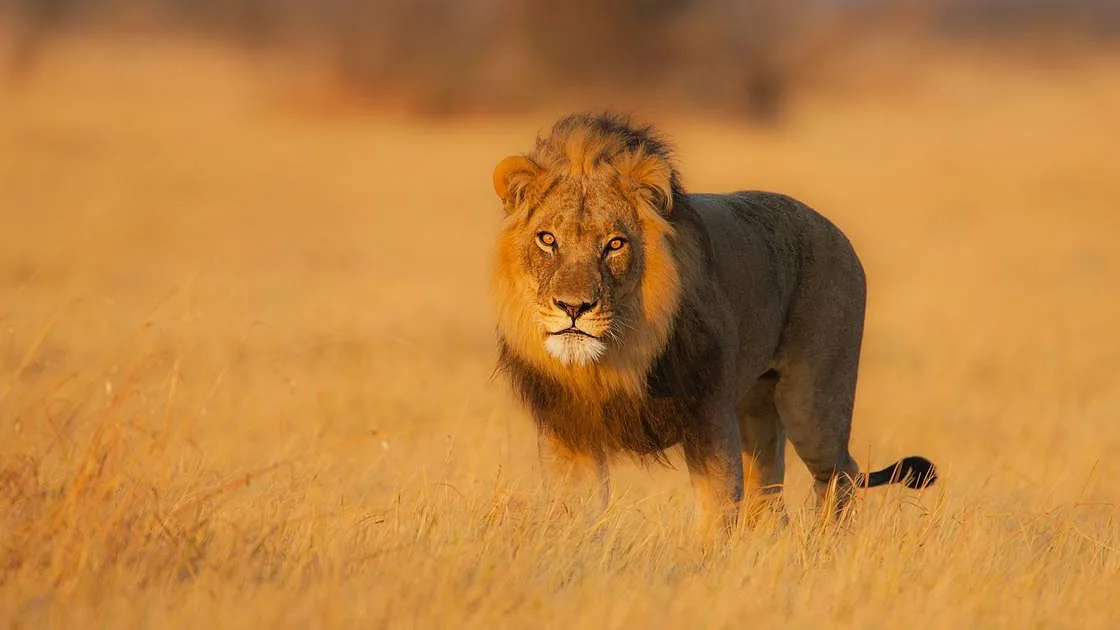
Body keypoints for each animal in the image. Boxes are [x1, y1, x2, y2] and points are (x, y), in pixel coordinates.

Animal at [491, 113, 936, 535]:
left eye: (615, 244)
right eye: (547, 240)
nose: (574, 307)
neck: (614, 360)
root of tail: (832, 228)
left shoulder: (709, 418)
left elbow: (715, 517)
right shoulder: (568, 434)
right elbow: (577, 514)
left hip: (812, 408)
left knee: (839, 473)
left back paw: (826, 545)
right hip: (756, 408)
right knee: (769, 494)